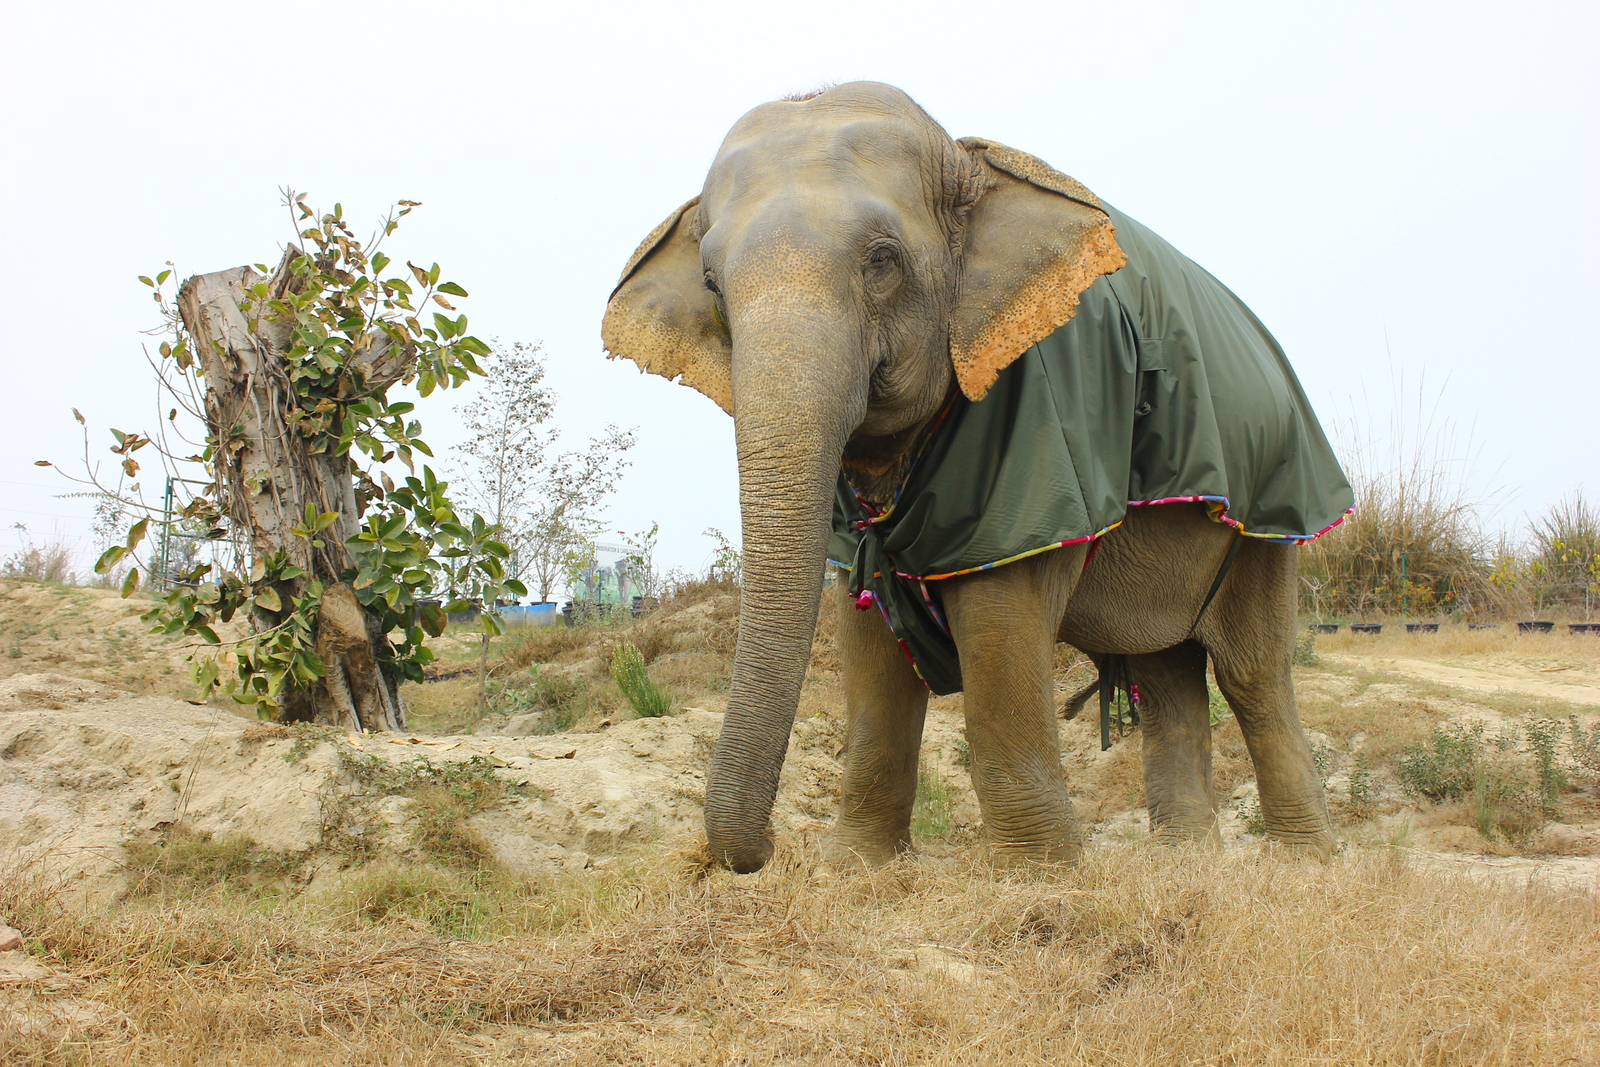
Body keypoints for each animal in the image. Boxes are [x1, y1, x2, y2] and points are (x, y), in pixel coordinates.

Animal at [601, 81, 1350, 870]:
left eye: (882, 261)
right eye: (711, 283)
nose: (764, 853)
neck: (964, 161)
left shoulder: (1043, 435)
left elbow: (999, 612)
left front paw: (1036, 874)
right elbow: (868, 628)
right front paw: (857, 866)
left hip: (1274, 503)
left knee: (1250, 670)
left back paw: (1303, 861)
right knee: (1164, 664)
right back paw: (1182, 862)